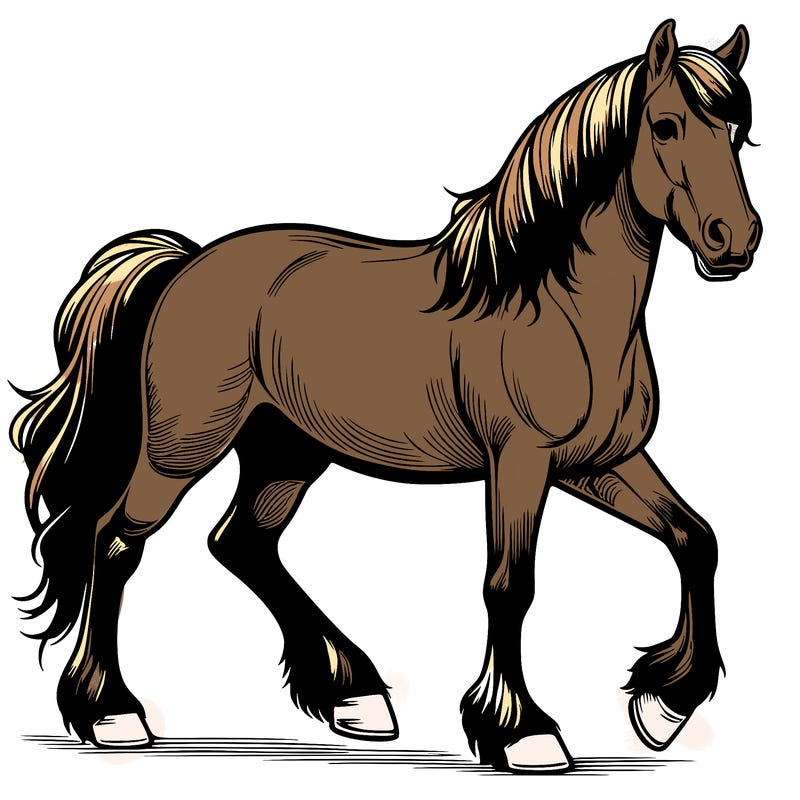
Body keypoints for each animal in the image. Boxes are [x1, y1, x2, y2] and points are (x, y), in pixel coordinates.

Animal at [10, 20, 760, 773]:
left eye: (736, 132)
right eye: (665, 126)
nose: (736, 239)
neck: (556, 306)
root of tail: (186, 264)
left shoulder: (599, 463)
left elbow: (696, 539)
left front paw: (664, 705)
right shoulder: (520, 462)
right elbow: (509, 585)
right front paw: (522, 732)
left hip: (286, 452)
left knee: (242, 542)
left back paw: (354, 695)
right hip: (181, 449)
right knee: (115, 542)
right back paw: (112, 714)